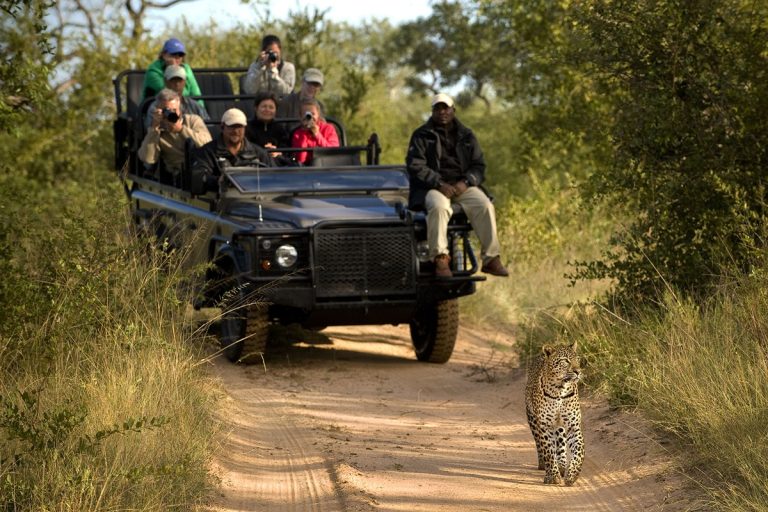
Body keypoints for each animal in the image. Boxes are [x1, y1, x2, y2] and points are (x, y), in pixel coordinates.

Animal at [525, 341, 584, 486]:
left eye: (577, 359)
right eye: (565, 361)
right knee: (540, 444)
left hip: (560, 426)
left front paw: (572, 475)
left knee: (561, 443)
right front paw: (553, 476)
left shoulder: (574, 426)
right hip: (533, 420)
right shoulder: (544, 426)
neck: (560, 391)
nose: (578, 372)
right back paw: (544, 464)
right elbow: (548, 451)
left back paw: (562, 466)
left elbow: (579, 451)